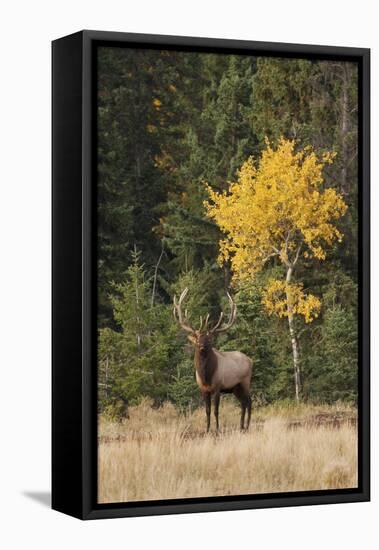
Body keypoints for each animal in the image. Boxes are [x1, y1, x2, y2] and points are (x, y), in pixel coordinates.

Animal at [174, 288, 252, 436]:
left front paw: (217, 430)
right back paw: (241, 426)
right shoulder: (203, 390)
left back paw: (247, 426)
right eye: (197, 338)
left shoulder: (217, 387)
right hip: (235, 388)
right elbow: (207, 411)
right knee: (243, 403)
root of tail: (251, 360)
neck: (206, 376)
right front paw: (207, 429)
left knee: (249, 401)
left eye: (208, 339)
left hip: (245, 382)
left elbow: (216, 411)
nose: (202, 346)